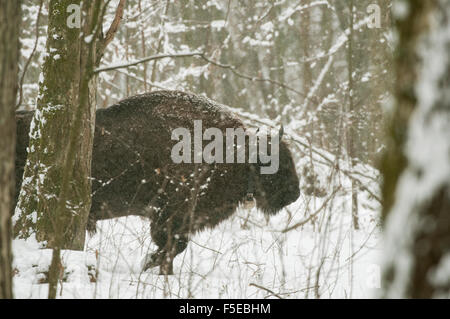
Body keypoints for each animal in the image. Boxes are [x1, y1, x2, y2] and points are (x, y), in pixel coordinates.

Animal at [15, 90, 300, 276]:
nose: (295, 194)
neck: (233, 154)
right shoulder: (169, 217)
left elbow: (175, 247)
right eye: (277, 163)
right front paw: (151, 264)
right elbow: (174, 245)